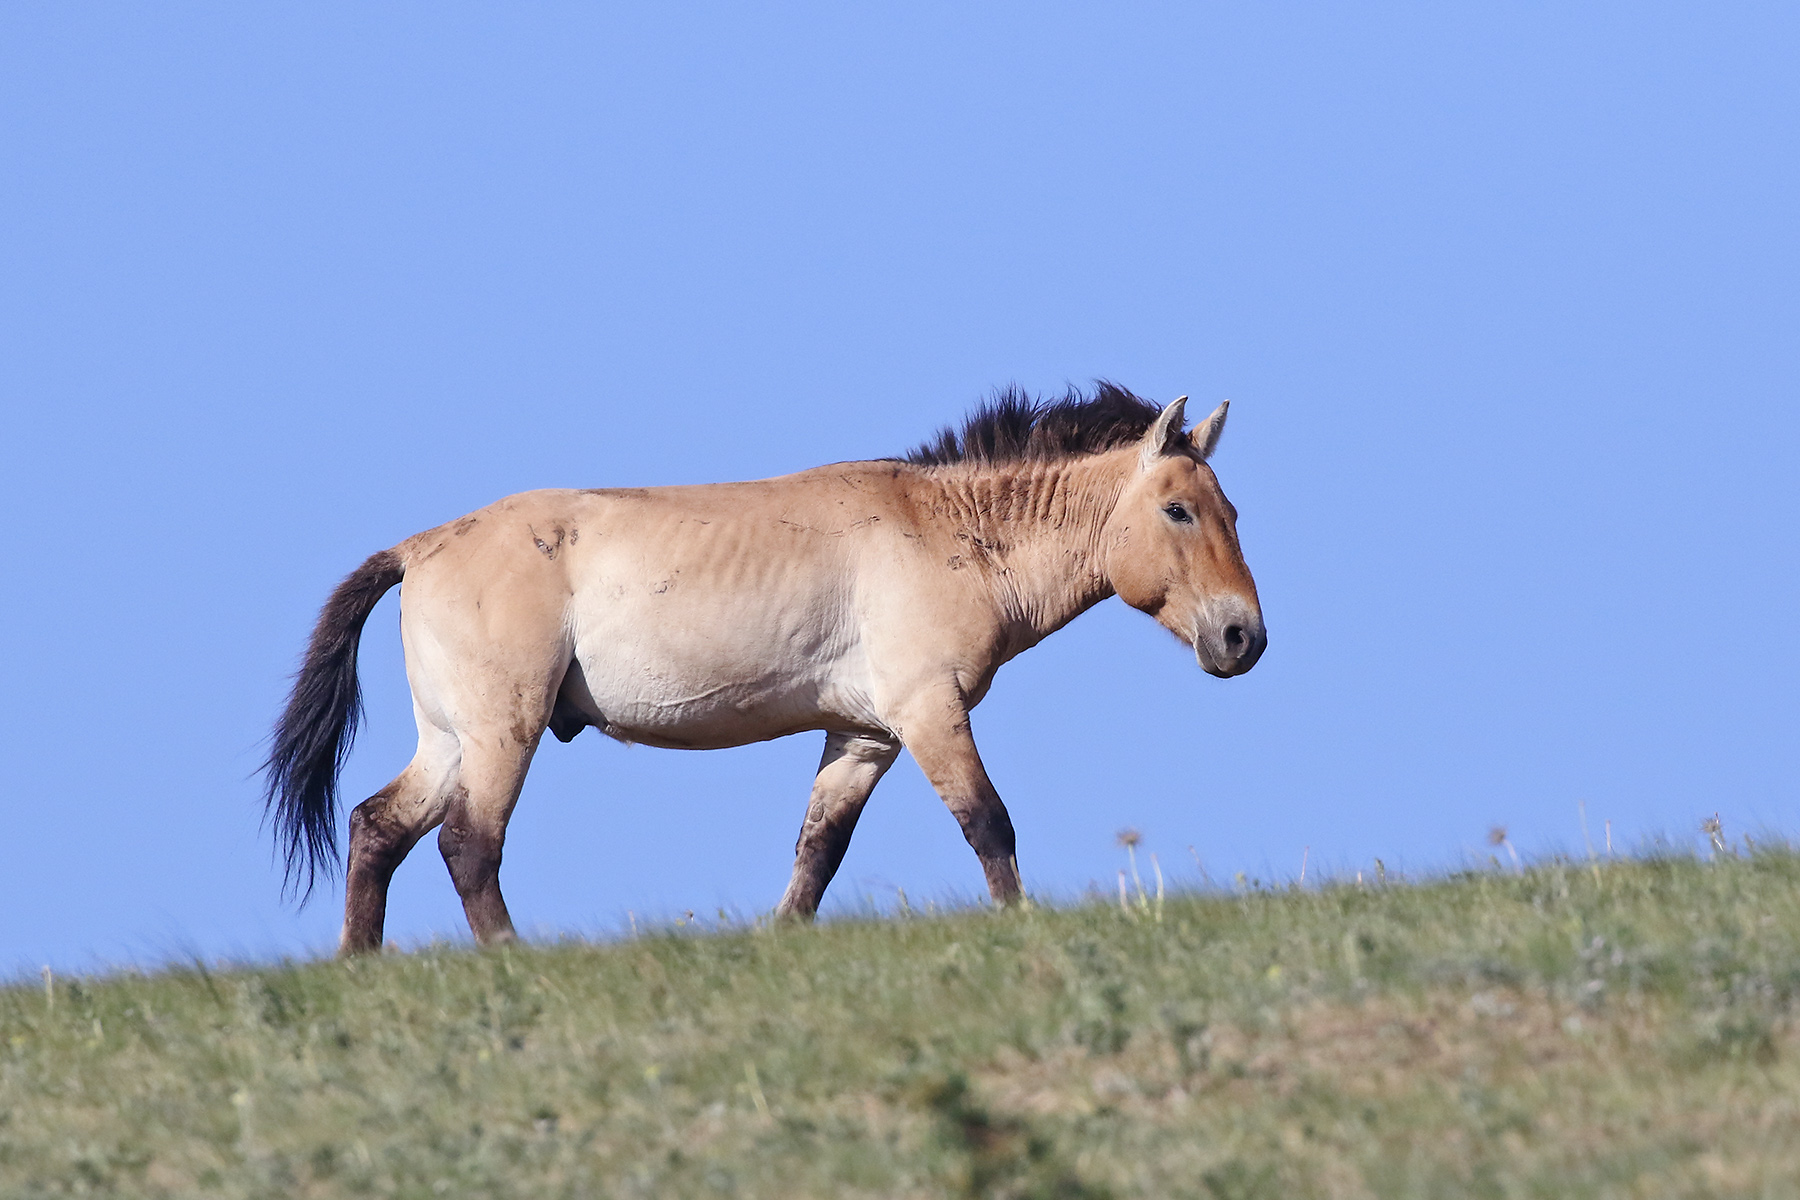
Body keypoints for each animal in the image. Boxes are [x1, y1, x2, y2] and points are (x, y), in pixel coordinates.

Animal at [263, 384, 1265, 953]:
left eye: (1231, 511)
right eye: (1178, 510)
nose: (1242, 638)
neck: (947, 532)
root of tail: (419, 548)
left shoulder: (863, 736)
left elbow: (818, 850)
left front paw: (780, 942)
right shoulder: (929, 711)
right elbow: (989, 825)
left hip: (450, 738)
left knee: (377, 827)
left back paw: (360, 965)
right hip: (501, 730)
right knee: (467, 844)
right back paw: (510, 957)